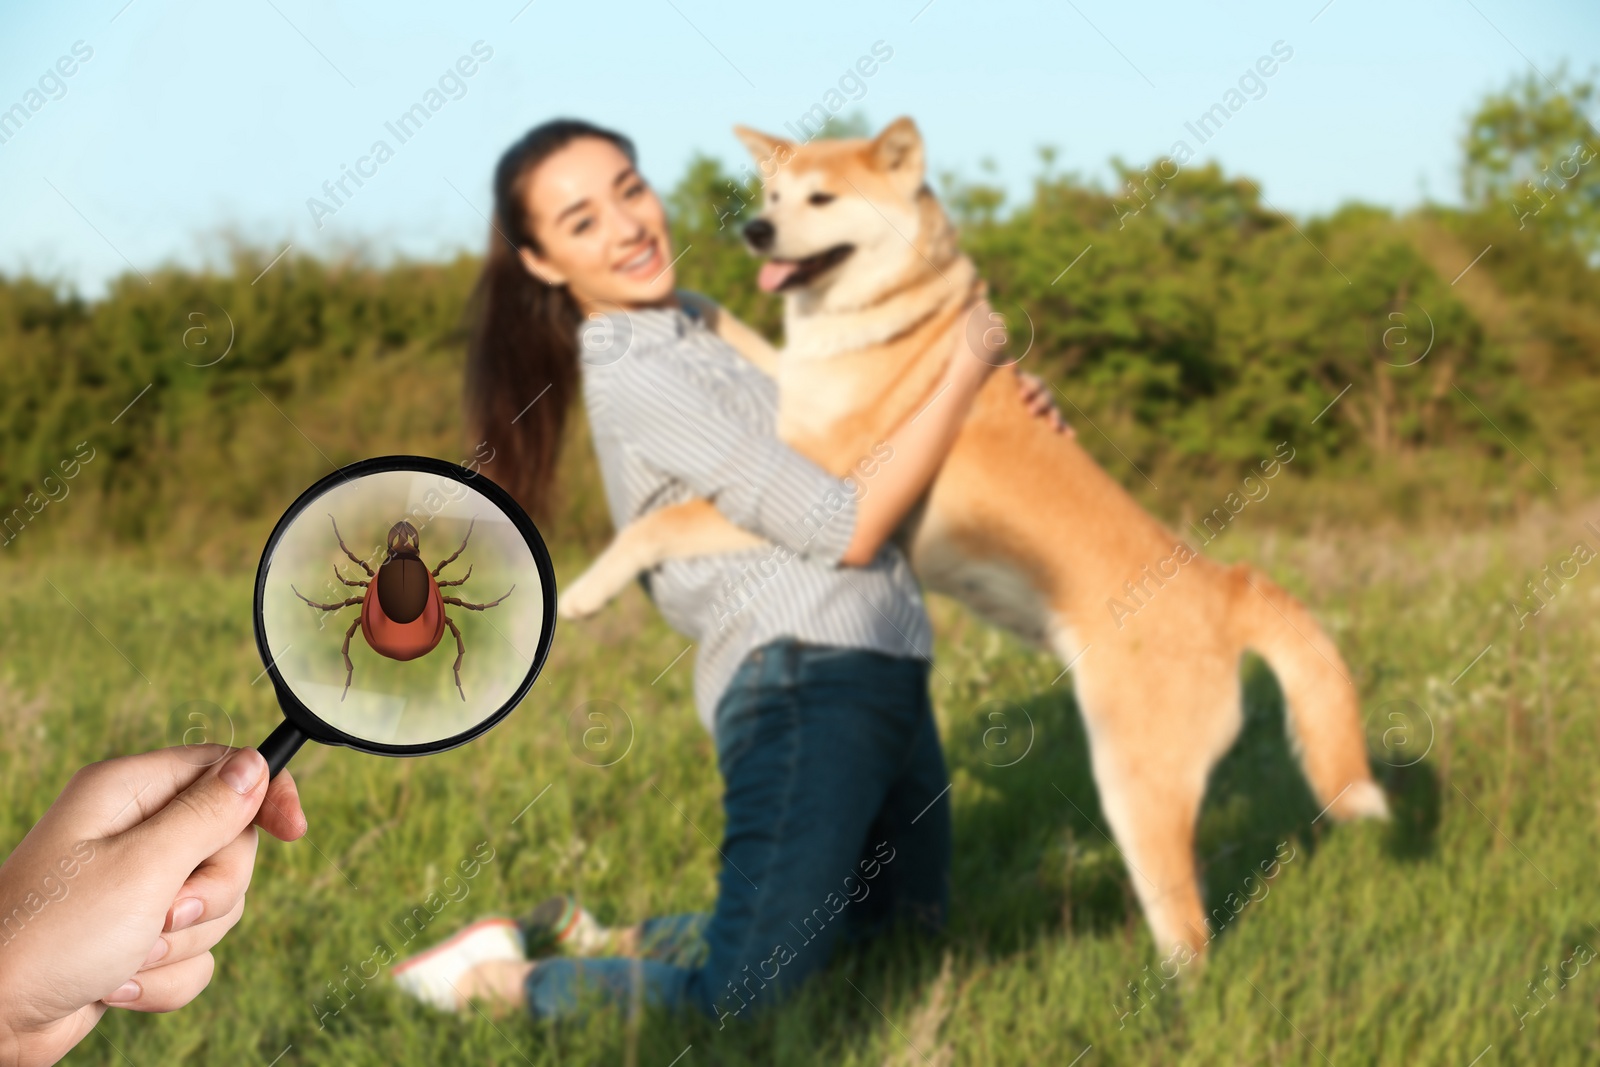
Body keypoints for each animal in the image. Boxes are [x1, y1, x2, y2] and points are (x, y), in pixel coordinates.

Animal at [566, 116, 1388, 959]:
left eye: (821, 198)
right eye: (771, 195)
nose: (755, 231)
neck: (890, 320)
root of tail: (1226, 585)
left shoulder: (827, 485)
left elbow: (660, 521)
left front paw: (582, 593)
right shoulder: (788, 391)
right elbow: (744, 335)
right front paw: (695, 302)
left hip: (1134, 783)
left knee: (1187, 930)